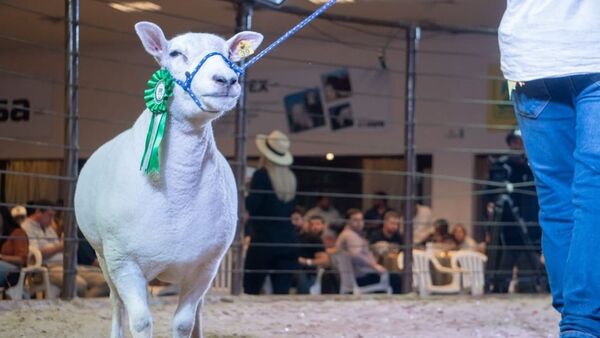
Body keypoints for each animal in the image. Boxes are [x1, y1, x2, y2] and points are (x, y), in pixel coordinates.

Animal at [72, 21, 262, 338]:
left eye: (229, 56)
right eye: (175, 53)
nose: (226, 79)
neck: (179, 190)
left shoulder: (205, 266)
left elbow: (184, 322)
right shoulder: (123, 261)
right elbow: (140, 321)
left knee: (198, 311)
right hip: (103, 256)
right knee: (116, 303)